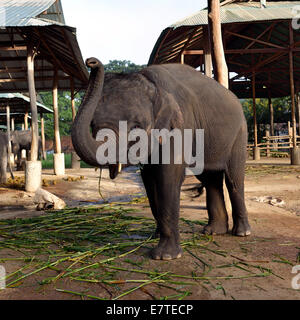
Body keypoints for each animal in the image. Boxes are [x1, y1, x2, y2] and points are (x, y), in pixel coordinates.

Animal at [71, 58, 251, 262]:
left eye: (136, 127)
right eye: (92, 124)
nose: (91, 62)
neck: (152, 83)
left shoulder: (180, 126)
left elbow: (168, 176)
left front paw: (165, 257)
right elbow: (149, 180)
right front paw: (155, 236)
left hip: (240, 134)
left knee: (233, 178)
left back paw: (241, 233)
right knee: (210, 178)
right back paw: (213, 232)